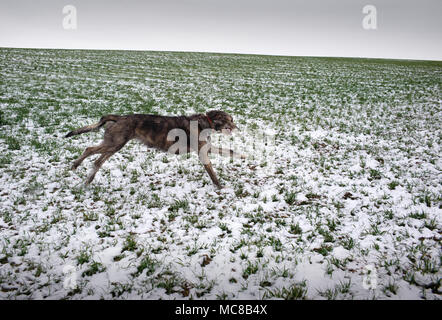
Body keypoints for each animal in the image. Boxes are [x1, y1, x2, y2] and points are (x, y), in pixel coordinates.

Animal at [64, 110, 243, 188]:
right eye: (229, 120)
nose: (238, 128)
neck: (206, 122)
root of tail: (118, 117)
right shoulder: (202, 151)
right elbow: (212, 172)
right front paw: (219, 186)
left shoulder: (206, 148)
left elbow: (228, 151)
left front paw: (242, 155)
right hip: (115, 143)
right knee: (90, 150)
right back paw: (76, 167)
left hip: (114, 144)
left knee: (96, 160)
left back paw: (87, 178)